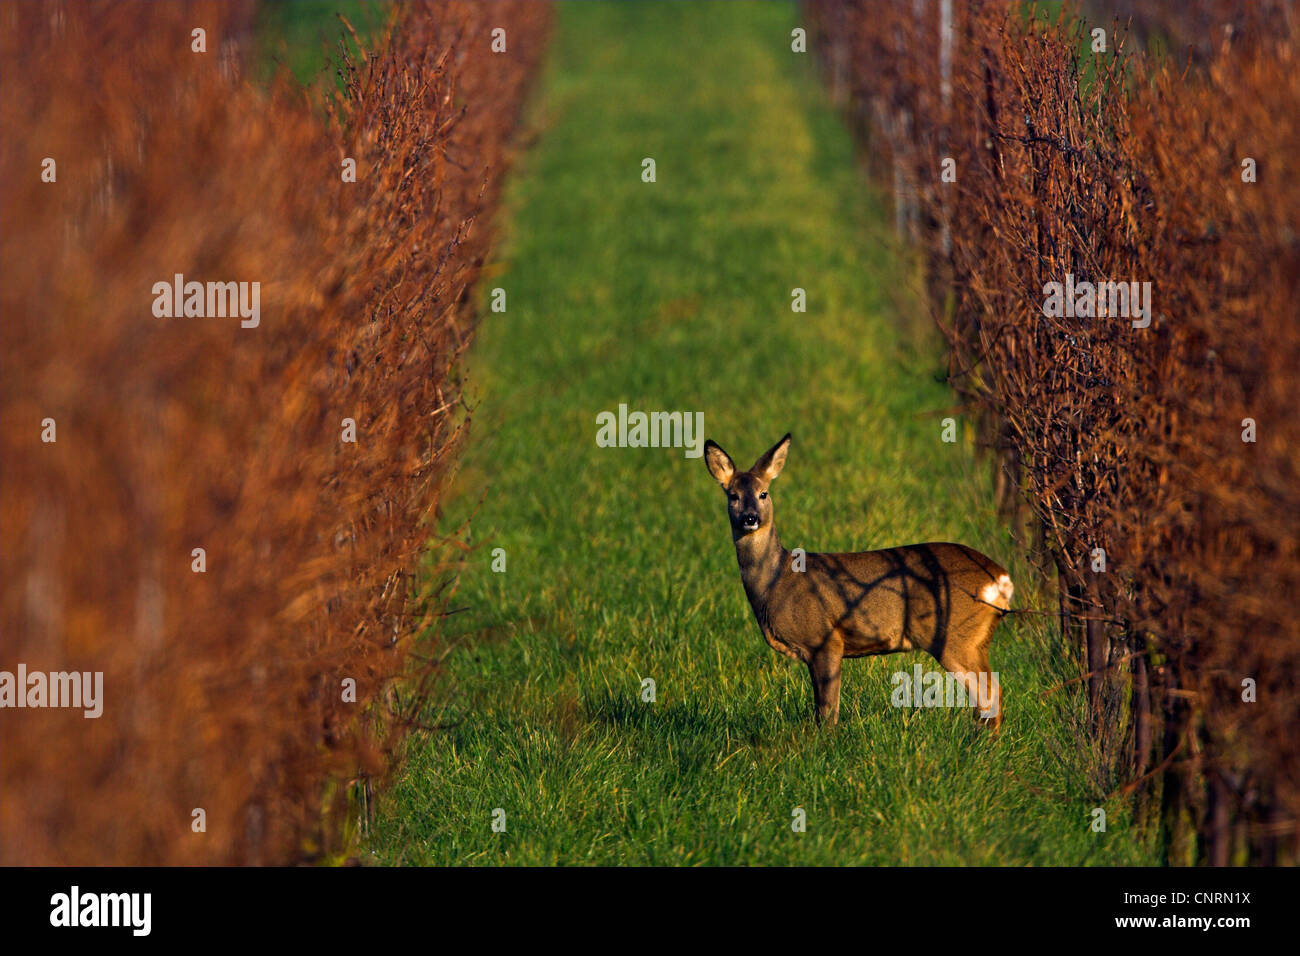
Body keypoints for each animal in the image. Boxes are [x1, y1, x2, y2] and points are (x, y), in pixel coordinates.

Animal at [702, 437, 1013, 728]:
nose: (750, 518)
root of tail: (1001, 577)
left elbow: (827, 711)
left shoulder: (825, 638)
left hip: (956, 636)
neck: (777, 581)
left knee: (990, 695)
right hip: (973, 639)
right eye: (733, 495)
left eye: (763, 493)